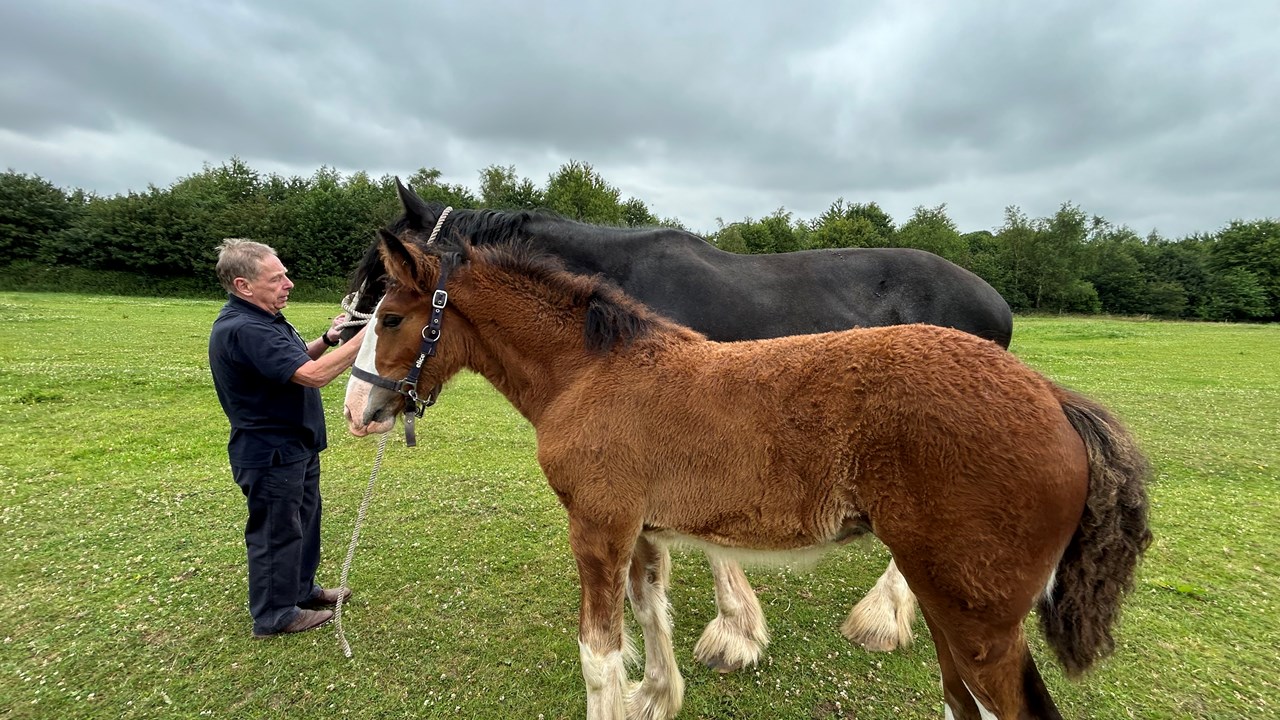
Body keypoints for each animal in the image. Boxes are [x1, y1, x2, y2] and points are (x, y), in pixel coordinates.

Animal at [343, 228, 1151, 720]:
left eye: (388, 317)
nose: (356, 408)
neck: (592, 371)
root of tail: (1054, 397)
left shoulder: (598, 527)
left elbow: (598, 654)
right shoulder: (643, 530)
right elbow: (651, 612)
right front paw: (659, 695)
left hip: (978, 616)